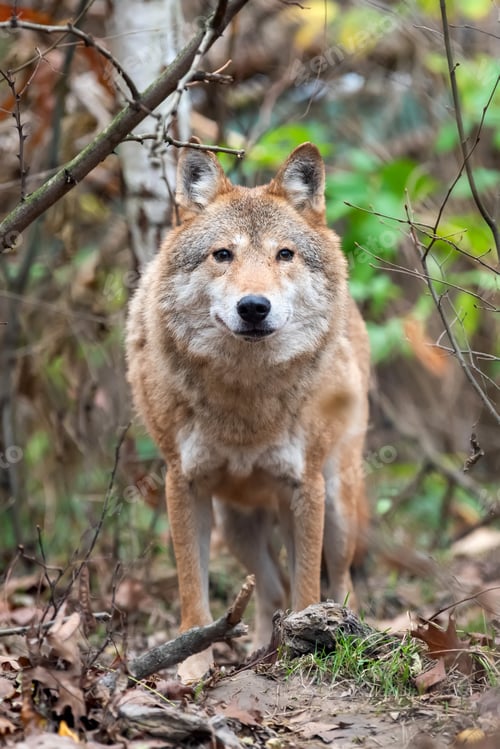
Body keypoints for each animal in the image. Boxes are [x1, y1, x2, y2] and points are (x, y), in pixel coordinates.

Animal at [126, 142, 370, 682]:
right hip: (238, 529)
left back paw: (345, 634)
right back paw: (263, 648)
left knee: (340, 582)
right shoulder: (183, 482)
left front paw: (307, 651)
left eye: (284, 254)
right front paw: (193, 669)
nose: (254, 306)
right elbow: (193, 594)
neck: (244, 397)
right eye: (223, 254)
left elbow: (308, 588)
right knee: (271, 587)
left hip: (339, 508)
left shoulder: (305, 487)